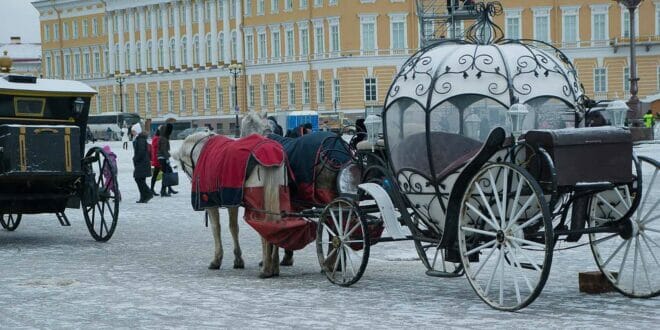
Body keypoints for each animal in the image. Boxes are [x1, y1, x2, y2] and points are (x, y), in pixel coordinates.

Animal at [173, 130, 284, 278]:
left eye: (184, 167)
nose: (191, 180)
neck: (200, 150)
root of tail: (271, 152)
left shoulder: (211, 202)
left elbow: (216, 228)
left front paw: (217, 260)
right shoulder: (232, 201)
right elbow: (233, 228)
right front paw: (238, 259)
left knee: (265, 228)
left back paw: (266, 268)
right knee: (276, 225)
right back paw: (275, 265)